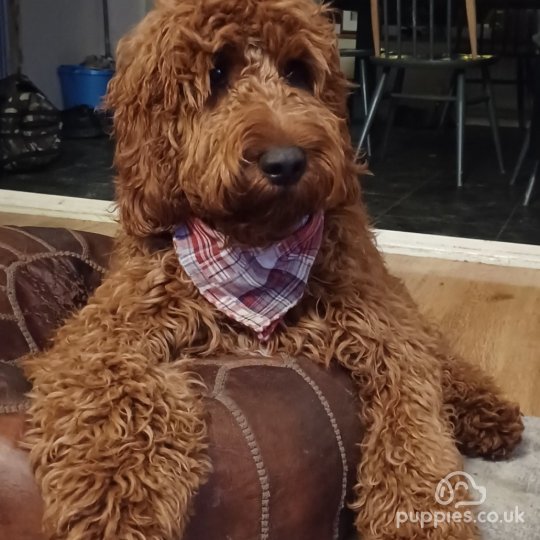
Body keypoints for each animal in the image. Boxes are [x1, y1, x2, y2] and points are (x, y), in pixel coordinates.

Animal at [24, 1, 524, 540]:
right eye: (217, 73)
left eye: (297, 72)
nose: (286, 161)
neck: (256, 250)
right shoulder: (108, 331)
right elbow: (113, 395)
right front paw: (113, 501)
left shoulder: (385, 331)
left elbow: (411, 424)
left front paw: (417, 518)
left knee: (443, 356)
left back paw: (488, 413)